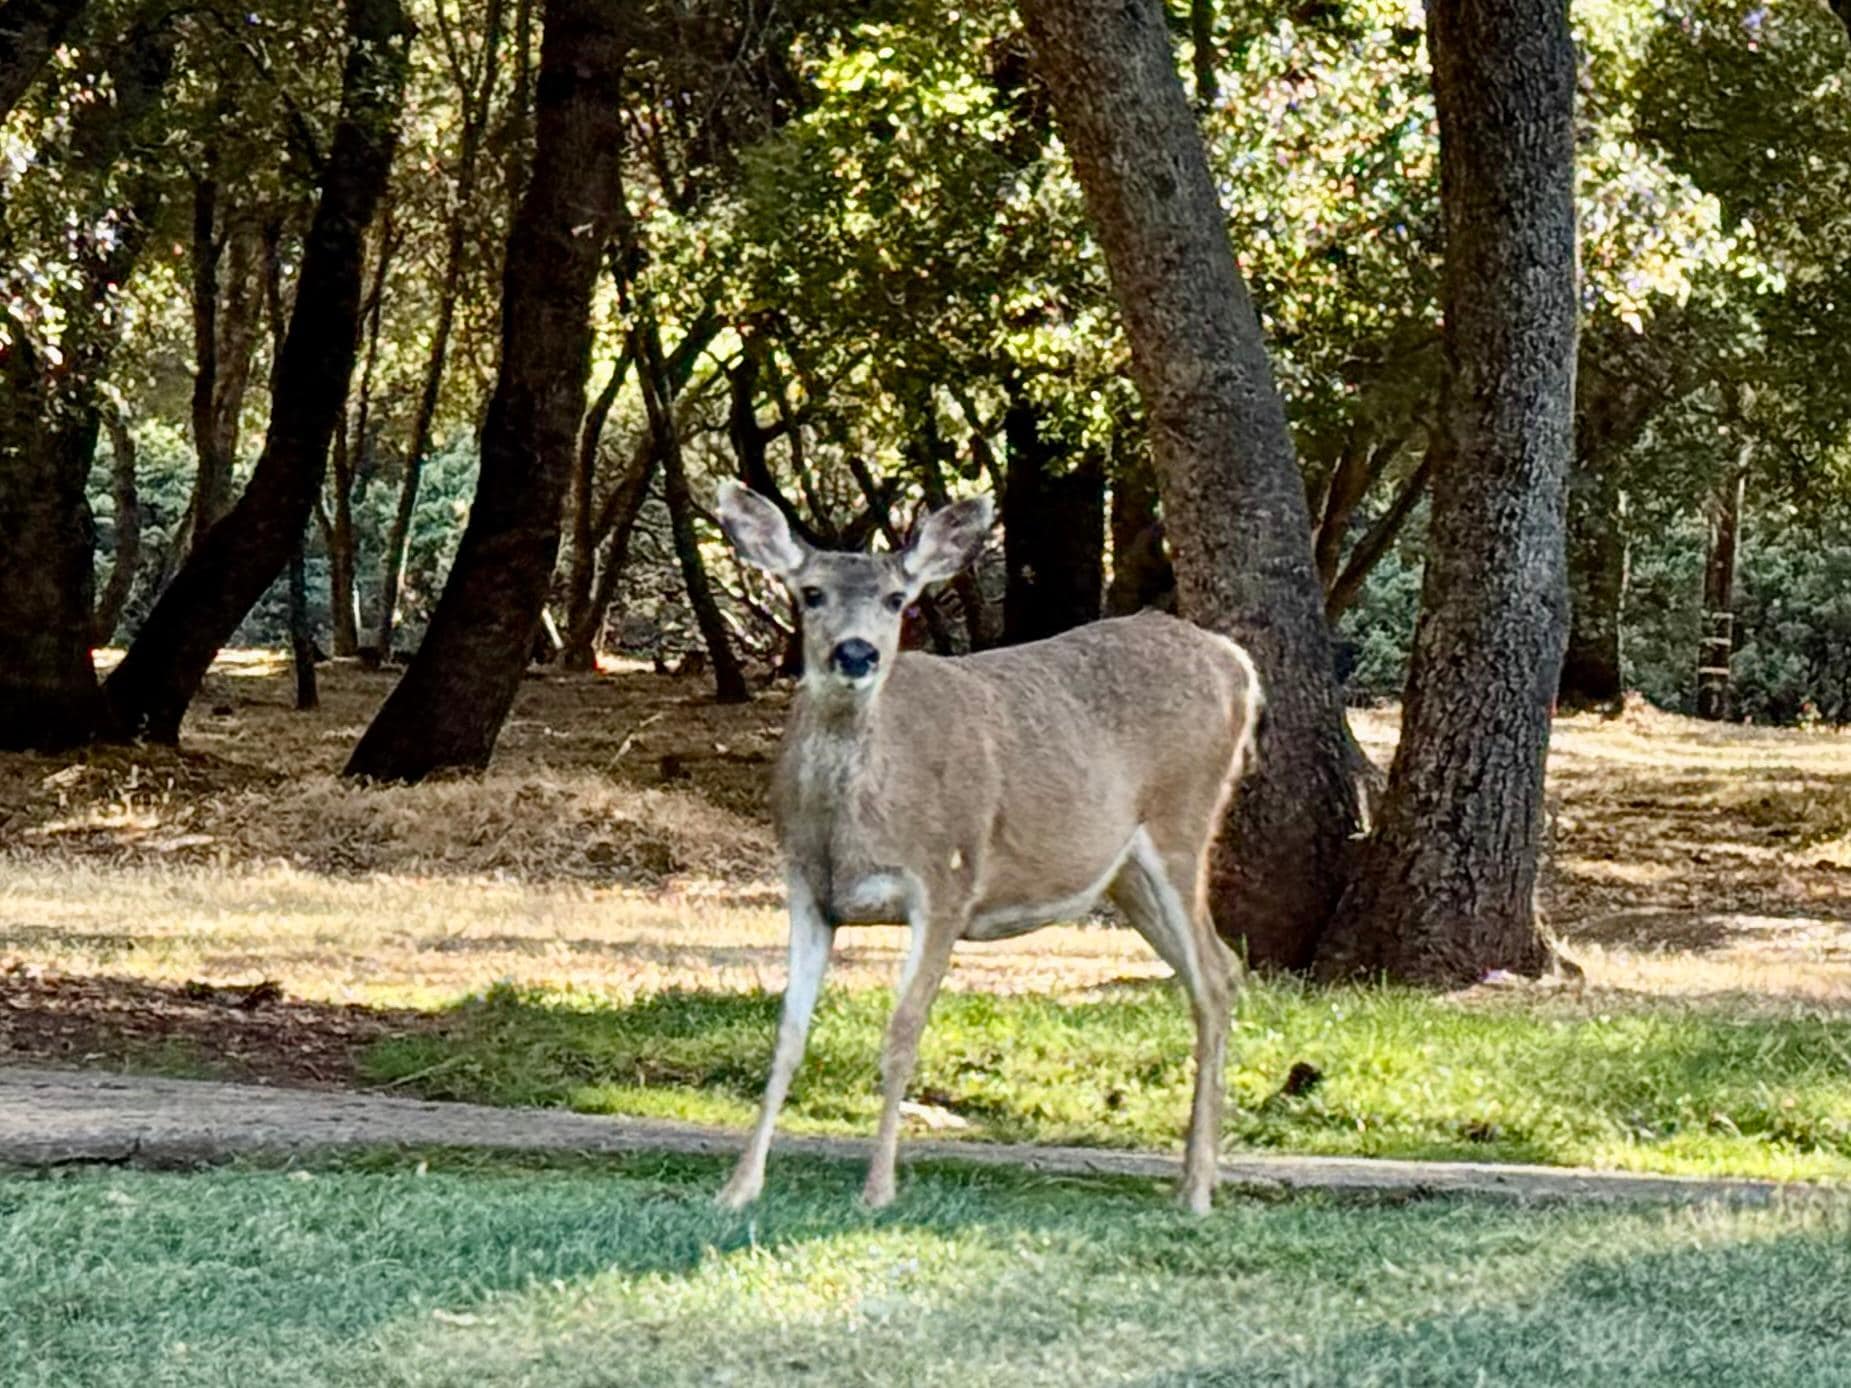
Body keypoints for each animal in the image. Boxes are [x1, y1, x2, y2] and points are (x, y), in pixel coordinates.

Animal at [713, 481, 1263, 1214]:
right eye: (810, 593)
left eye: (897, 599)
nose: (856, 654)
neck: (849, 832)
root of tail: (1240, 666)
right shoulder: (806, 890)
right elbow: (787, 1036)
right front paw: (739, 1187)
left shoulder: (946, 880)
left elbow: (902, 1032)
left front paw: (878, 1190)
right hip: (1126, 876)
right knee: (1220, 968)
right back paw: (1193, 1174)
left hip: (1182, 822)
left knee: (1211, 977)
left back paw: (1198, 1188)